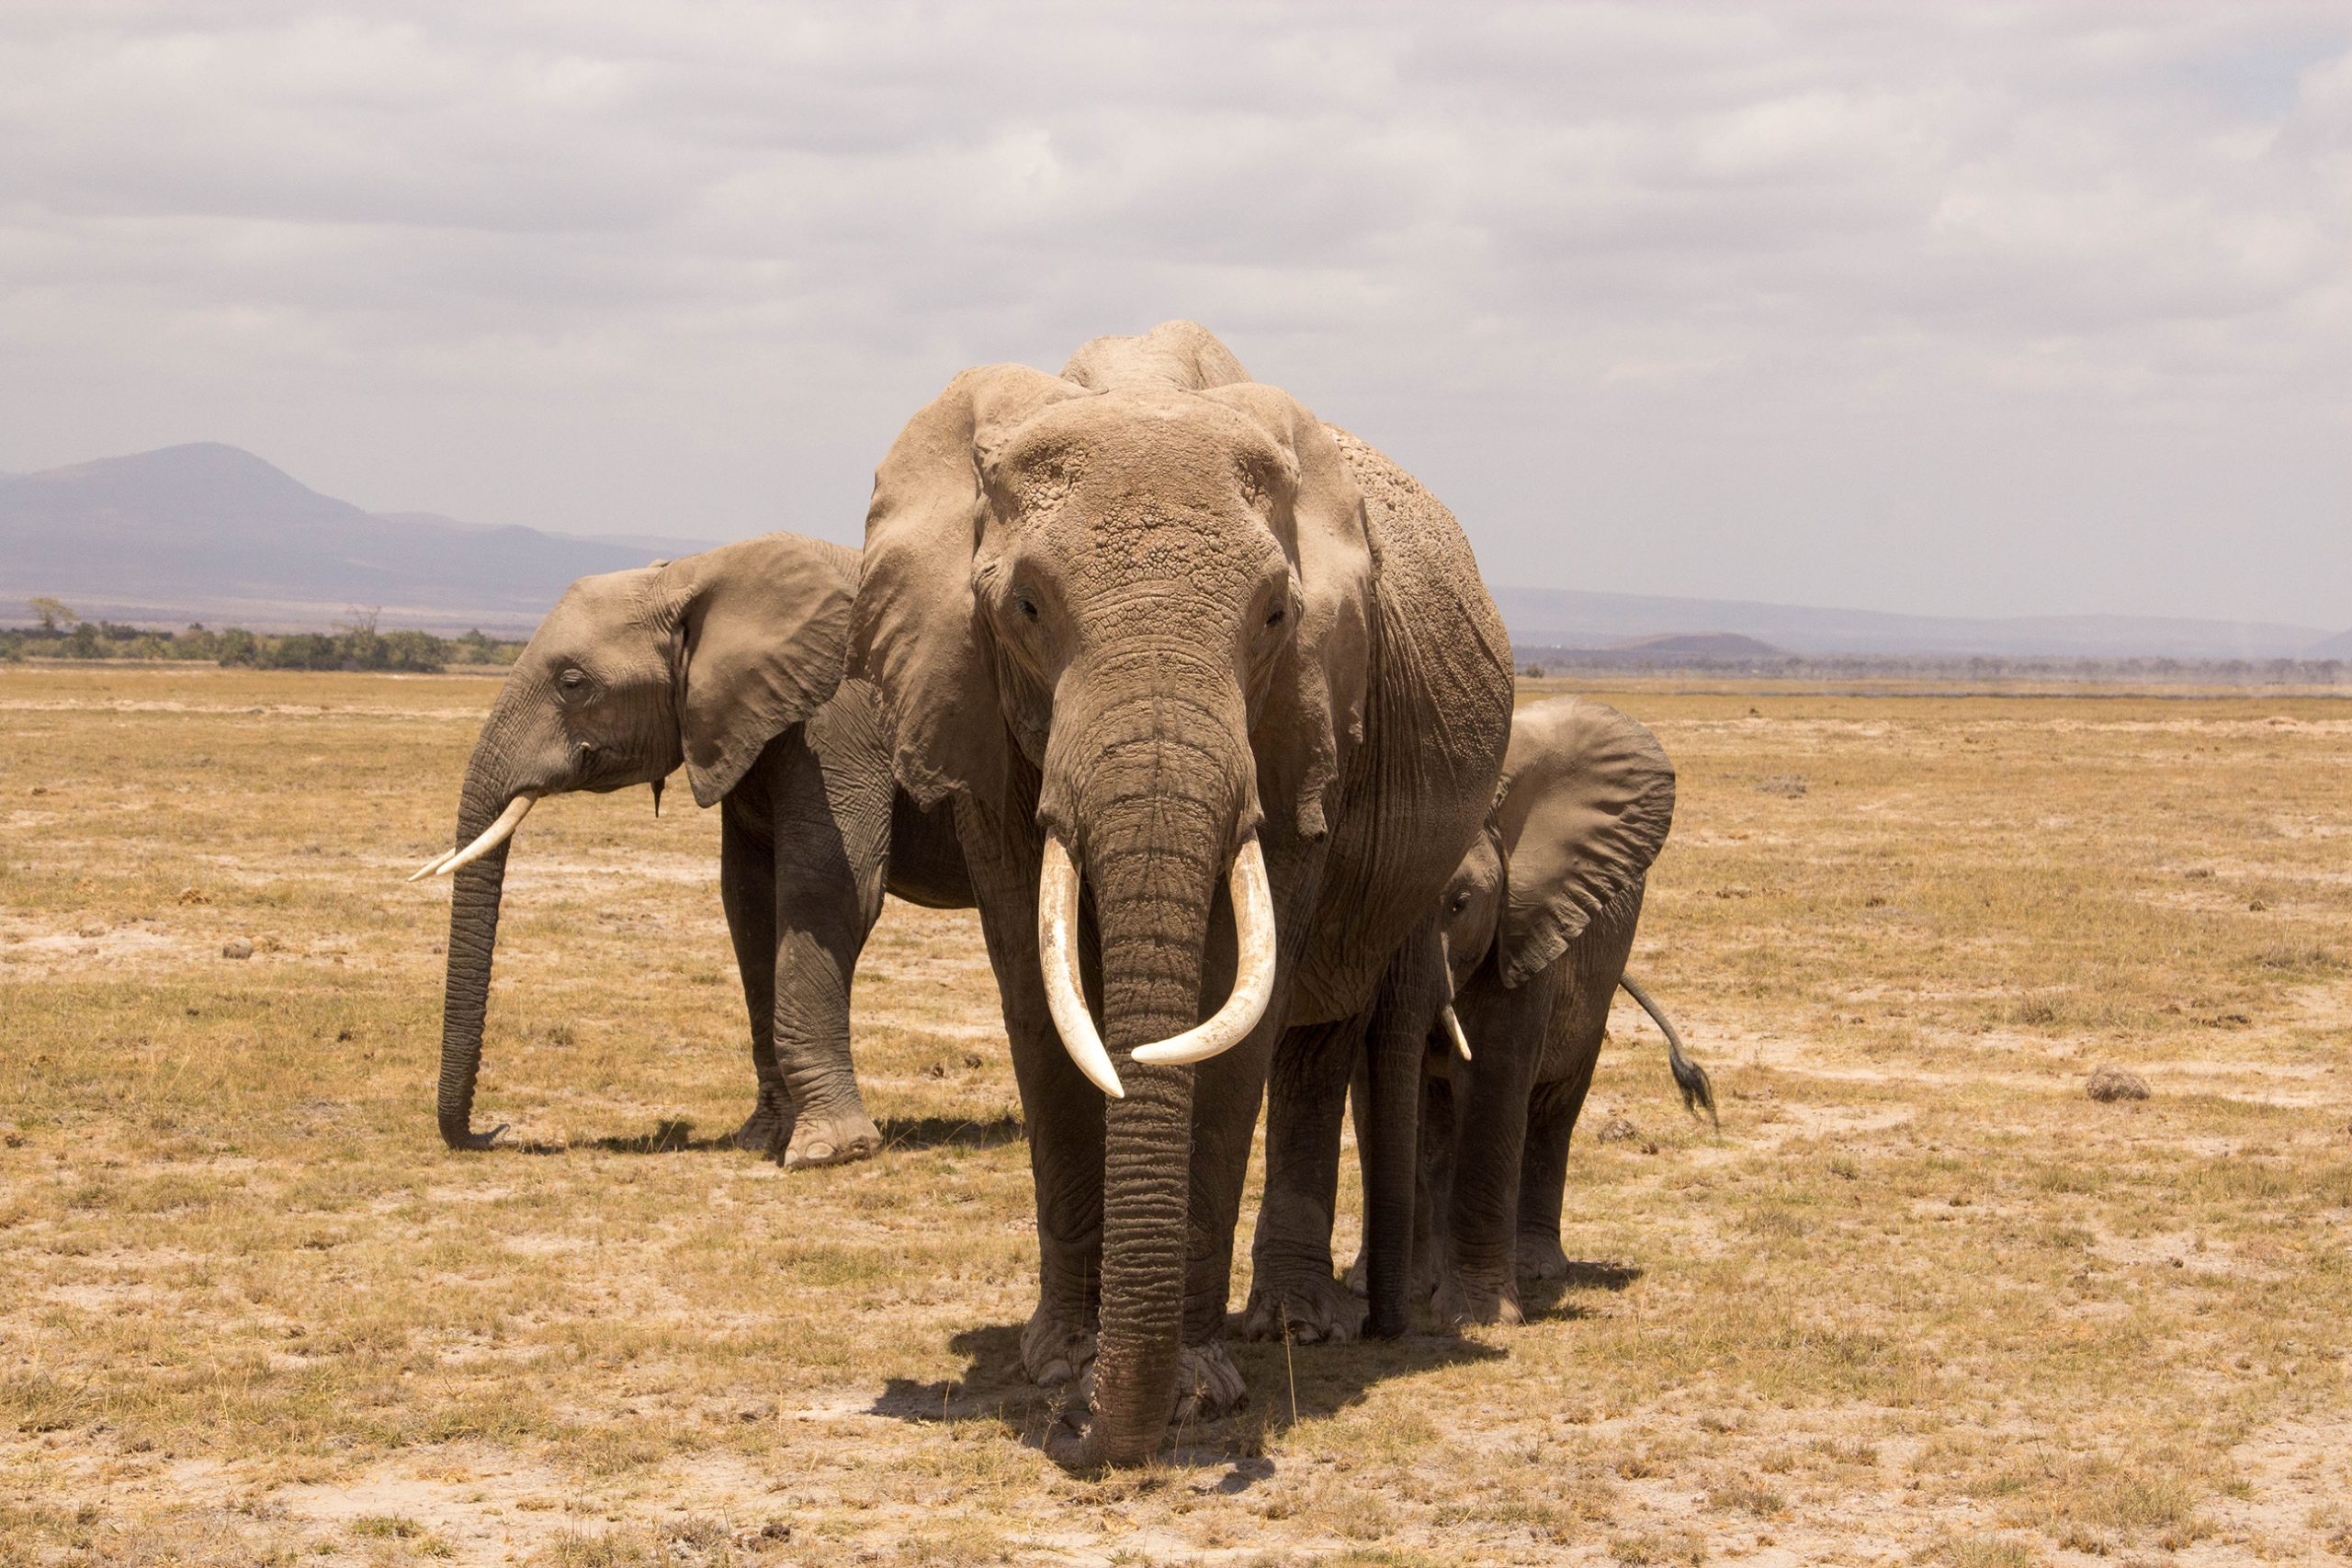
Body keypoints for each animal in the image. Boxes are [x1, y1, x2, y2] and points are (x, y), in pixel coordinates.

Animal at [418, 533, 968, 1170]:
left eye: (572, 683)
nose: (493, 1132)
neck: (692, 576)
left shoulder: (841, 724)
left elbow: (831, 889)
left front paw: (826, 1153)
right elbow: (749, 898)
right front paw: (762, 1139)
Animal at [846, 320, 1505, 1476]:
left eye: (1277, 613)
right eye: (1024, 608)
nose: (1083, 1438)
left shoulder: (1305, 720)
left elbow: (1233, 1004)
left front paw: (1195, 1390)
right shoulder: (973, 711)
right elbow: (1036, 998)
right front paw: (1061, 1366)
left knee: (1308, 1045)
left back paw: (1292, 1327)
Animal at [1363, 700, 1712, 1325]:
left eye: (1461, 904)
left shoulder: (1525, 925)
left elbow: (1493, 1080)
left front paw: (1479, 1317)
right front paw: (1394, 1289)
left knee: (1553, 1109)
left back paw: (1537, 1270)